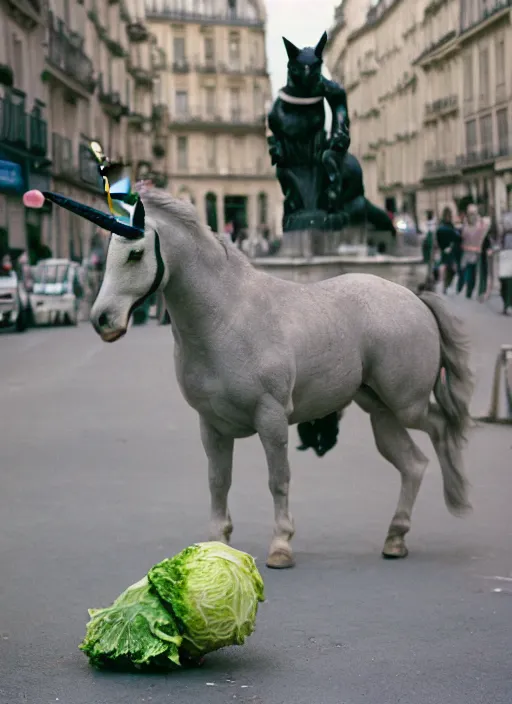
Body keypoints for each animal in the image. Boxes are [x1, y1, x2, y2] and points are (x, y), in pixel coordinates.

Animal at [33, 186, 476, 568]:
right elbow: (218, 481)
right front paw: (216, 540)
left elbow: (278, 480)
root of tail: (413, 296)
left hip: (406, 403)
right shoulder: (211, 425)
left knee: (441, 427)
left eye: (135, 253)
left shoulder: (272, 418)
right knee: (413, 463)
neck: (229, 317)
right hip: (379, 410)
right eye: (107, 252)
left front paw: (281, 545)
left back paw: (456, 497)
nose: (102, 319)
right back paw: (396, 537)